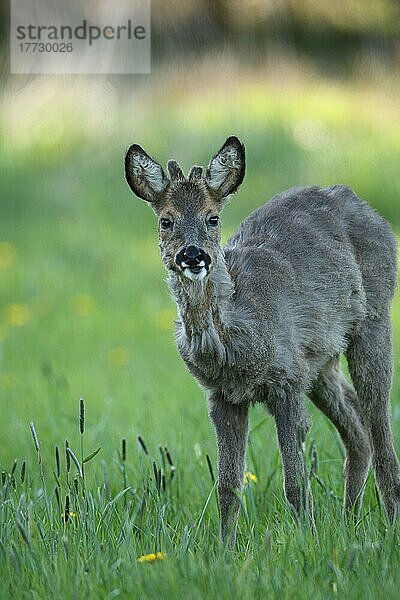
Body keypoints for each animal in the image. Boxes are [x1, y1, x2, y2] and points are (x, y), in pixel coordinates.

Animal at [124, 136, 400, 544]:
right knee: (356, 428)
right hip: (319, 361)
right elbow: (227, 486)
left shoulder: (285, 381)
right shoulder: (223, 395)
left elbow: (294, 482)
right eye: (165, 220)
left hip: (374, 318)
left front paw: (306, 541)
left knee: (379, 424)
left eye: (212, 218)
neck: (234, 339)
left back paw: (388, 523)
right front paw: (224, 547)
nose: (193, 255)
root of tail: (366, 207)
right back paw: (349, 520)